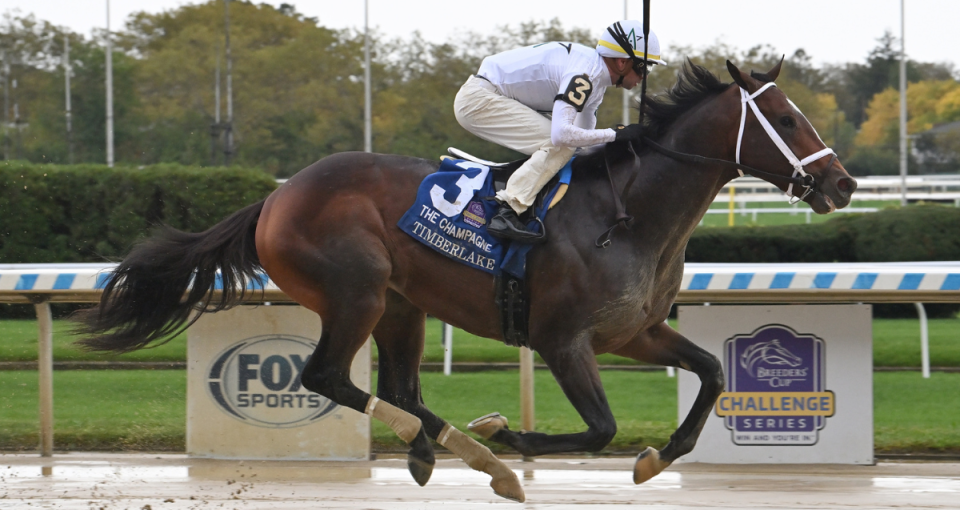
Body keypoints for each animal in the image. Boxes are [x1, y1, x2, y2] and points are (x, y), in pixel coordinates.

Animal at [75, 59, 856, 502]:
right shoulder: (562, 340)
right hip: (356, 291)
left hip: (401, 305)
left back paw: (440, 448)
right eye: (784, 117)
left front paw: (654, 460)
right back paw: (479, 454)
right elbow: (598, 427)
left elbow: (712, 374)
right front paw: (513, 437)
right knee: (328, 376)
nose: (842, 184)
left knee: (399, 388)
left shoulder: (634, 330)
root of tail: (275, 197)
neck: (629, 214)